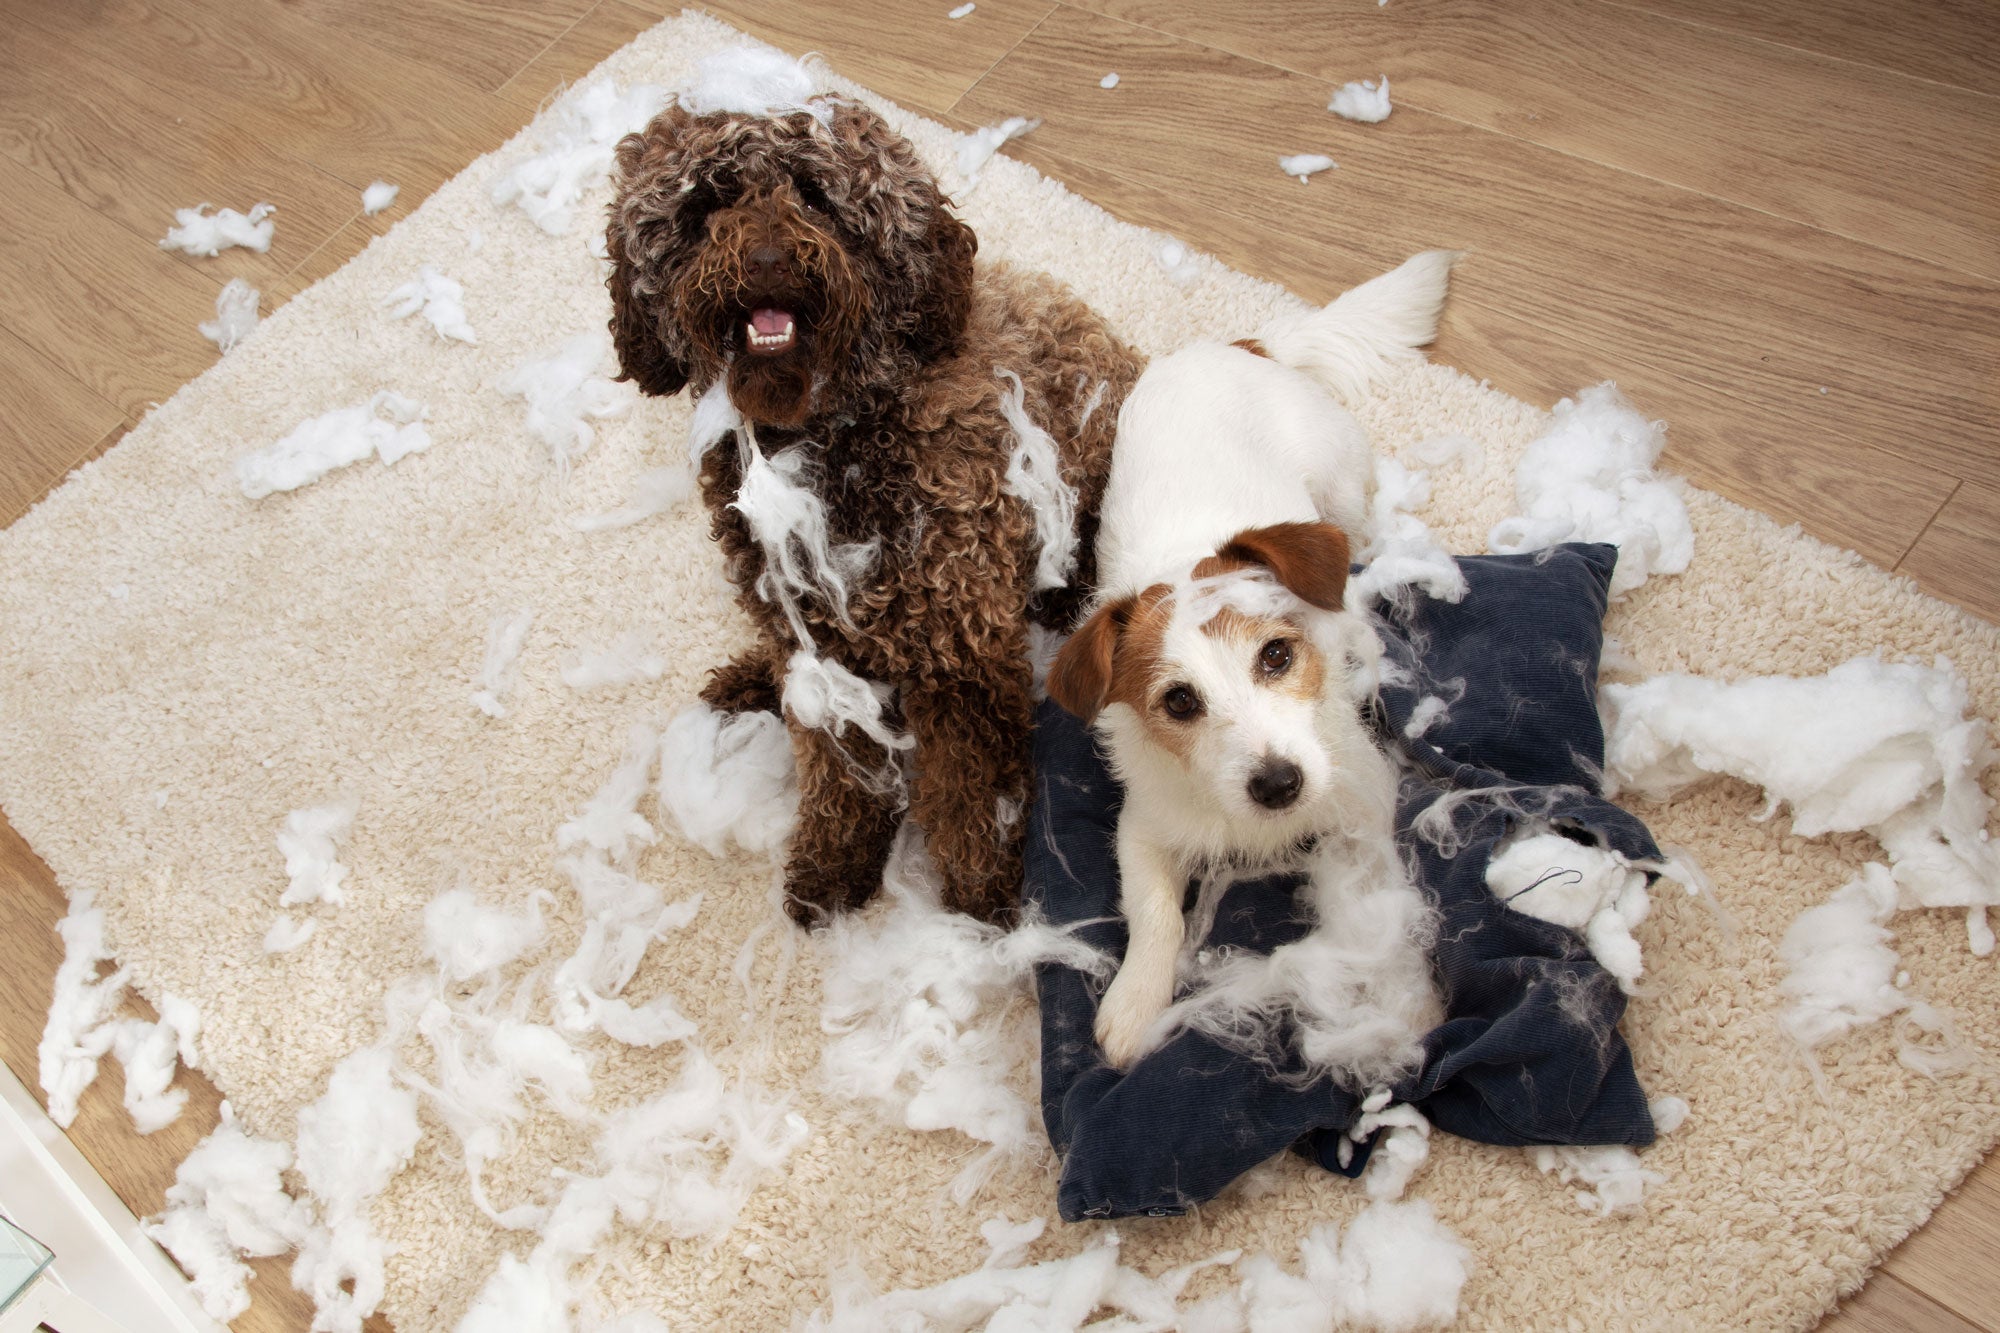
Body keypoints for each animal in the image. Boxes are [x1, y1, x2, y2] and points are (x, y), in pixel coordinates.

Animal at [608, 96, 1144, 924]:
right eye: (709, 202)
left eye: (816, 196)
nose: (767, 258)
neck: (835, 437)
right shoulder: (815, 652)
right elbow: (838, 775)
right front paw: (833, 864)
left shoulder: (963, 659)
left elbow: (968, 792)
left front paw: (981, 896)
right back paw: (746, 679)